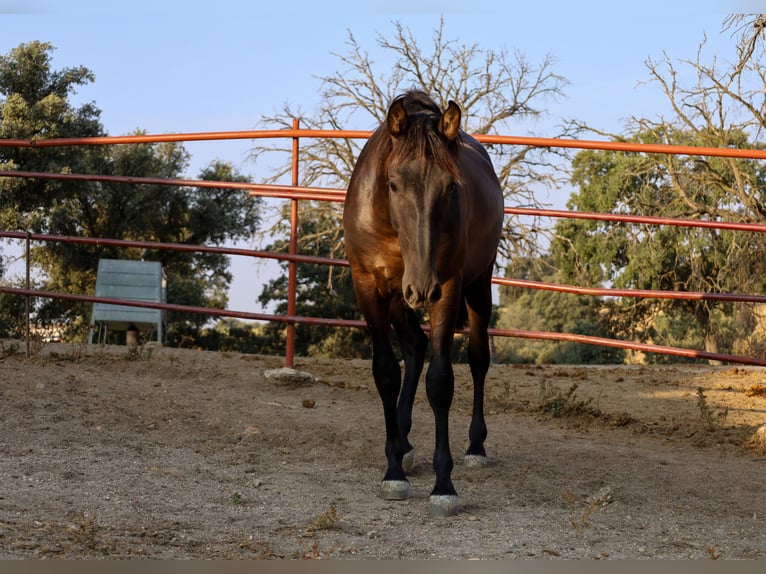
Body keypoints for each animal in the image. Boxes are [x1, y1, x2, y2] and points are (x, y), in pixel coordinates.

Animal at [344, 90, 508, 516]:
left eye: (450, 186)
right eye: (393, 182)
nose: (421, 286)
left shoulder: (445, 288)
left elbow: (440, 381)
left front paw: (444, 485)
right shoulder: (367, 286)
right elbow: (386, 373)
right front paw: (393, 472)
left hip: (476, 285)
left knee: (478, 358)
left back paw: (476, 446)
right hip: (397, 296)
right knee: (414, 346)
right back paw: (401, 443)